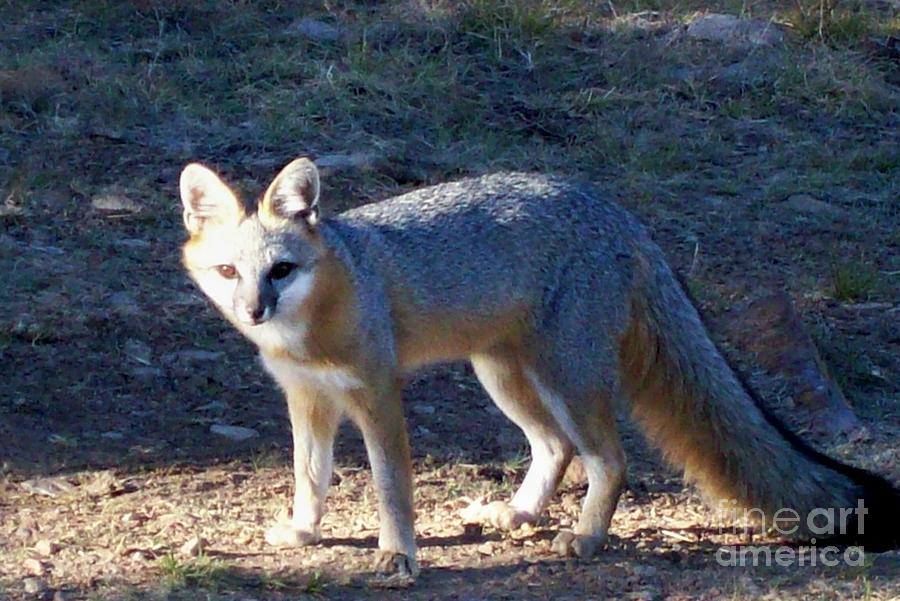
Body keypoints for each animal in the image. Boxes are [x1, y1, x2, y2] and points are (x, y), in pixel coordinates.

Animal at [181, 157, 900, 580]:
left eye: (281, 270)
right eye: (230, 272)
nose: (254, 311)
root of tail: (620, 215)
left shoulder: (378, 395)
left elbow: (392, 487)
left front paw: (398, 553)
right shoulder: (308, 399)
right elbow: (310, 478)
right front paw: (304, 531)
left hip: (565, 380)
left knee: (609, 458)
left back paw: (586, 539)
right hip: (504, 376)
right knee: (556, 448)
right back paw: (523, 514)